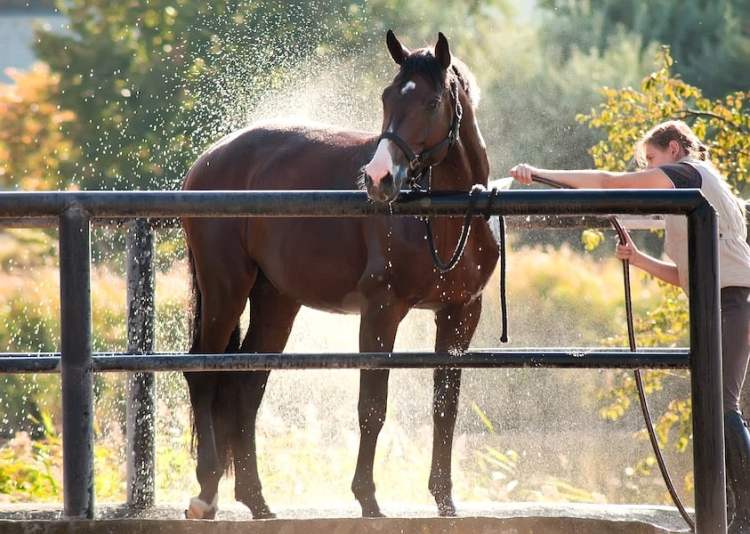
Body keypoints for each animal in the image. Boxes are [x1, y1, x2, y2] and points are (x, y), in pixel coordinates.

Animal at [181, 31, 500, 520]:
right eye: (387, 96)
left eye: (431, 102)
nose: (379, 178)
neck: (441, 218)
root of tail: (209, 159)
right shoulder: (381, 311)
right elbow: (372, 407)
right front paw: (368, 499)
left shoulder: (460, 314)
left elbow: (444, 406)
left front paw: (445, 501)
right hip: (225, 291)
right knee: (202, 372)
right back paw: (206, 492)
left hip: (276, 302)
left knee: (246, 385)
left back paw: (257, 500)